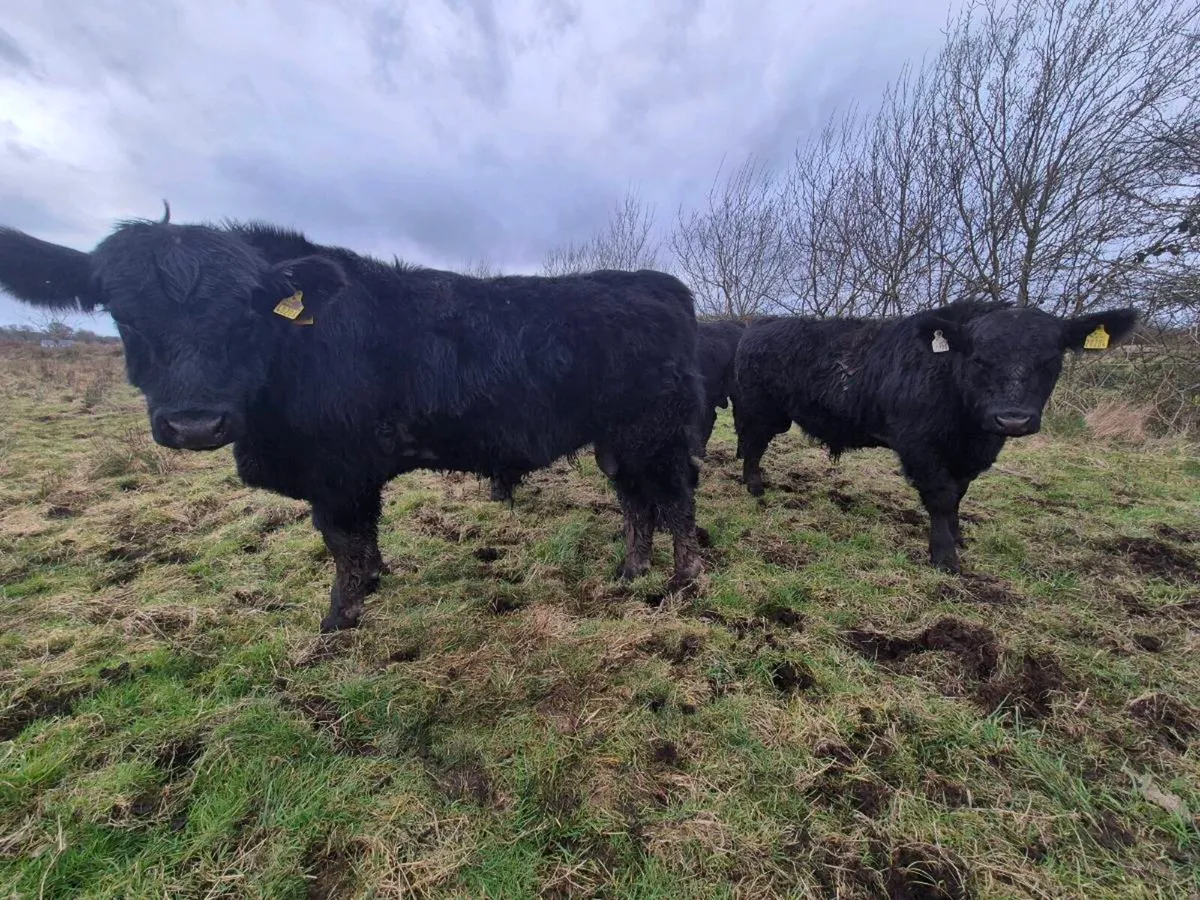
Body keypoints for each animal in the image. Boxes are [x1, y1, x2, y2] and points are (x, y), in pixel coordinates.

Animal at [0, 209, 707, 632]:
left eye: (244, 314)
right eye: (123, 314)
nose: (195, 424)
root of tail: (659, 284)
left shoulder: (336, 471)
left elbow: (342, 542)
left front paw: (339, 620)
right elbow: (358, 542)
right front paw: (373, 584)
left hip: (654, 433)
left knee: (675, 502)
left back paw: (681, 584)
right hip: (617, 439)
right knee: (636, 504)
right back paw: (629, 573)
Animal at [733, 299, 1138, 573]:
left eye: (1050, 360)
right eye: (979, 359)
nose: (1013, 419)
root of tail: (758, 325)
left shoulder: (970, 454)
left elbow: (959, 494)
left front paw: (958, 538)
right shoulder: (920, 446)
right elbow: (942, 496)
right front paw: (944, 556)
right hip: (759, 409)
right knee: (753, 446)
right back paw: (755, 486)